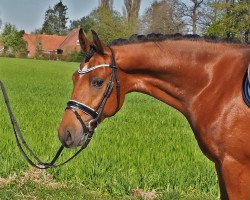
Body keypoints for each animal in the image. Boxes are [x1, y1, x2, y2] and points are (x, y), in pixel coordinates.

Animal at [58, 28, 250, 200]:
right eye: (74, 78)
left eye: (97, 82)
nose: (65, 132)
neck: (220, 83)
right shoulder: (220, 165)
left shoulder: (235, 166)